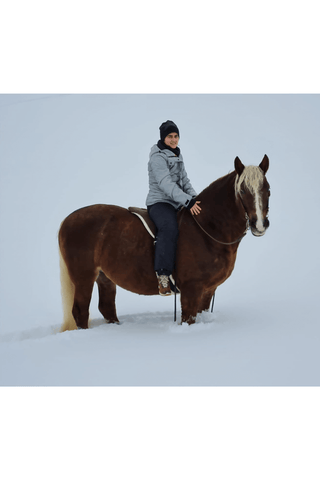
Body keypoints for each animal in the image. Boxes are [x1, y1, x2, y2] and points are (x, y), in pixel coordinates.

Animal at [58, 156, 270, 332]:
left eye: (267, 189)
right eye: (242, 190)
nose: (259, 224)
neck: (207, 228)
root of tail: (67, 220)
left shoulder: (208, 290)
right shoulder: (191, 290)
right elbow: (189, 319)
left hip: (105, 277)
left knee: (107, 307)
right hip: (84, 278)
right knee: (80, 311)